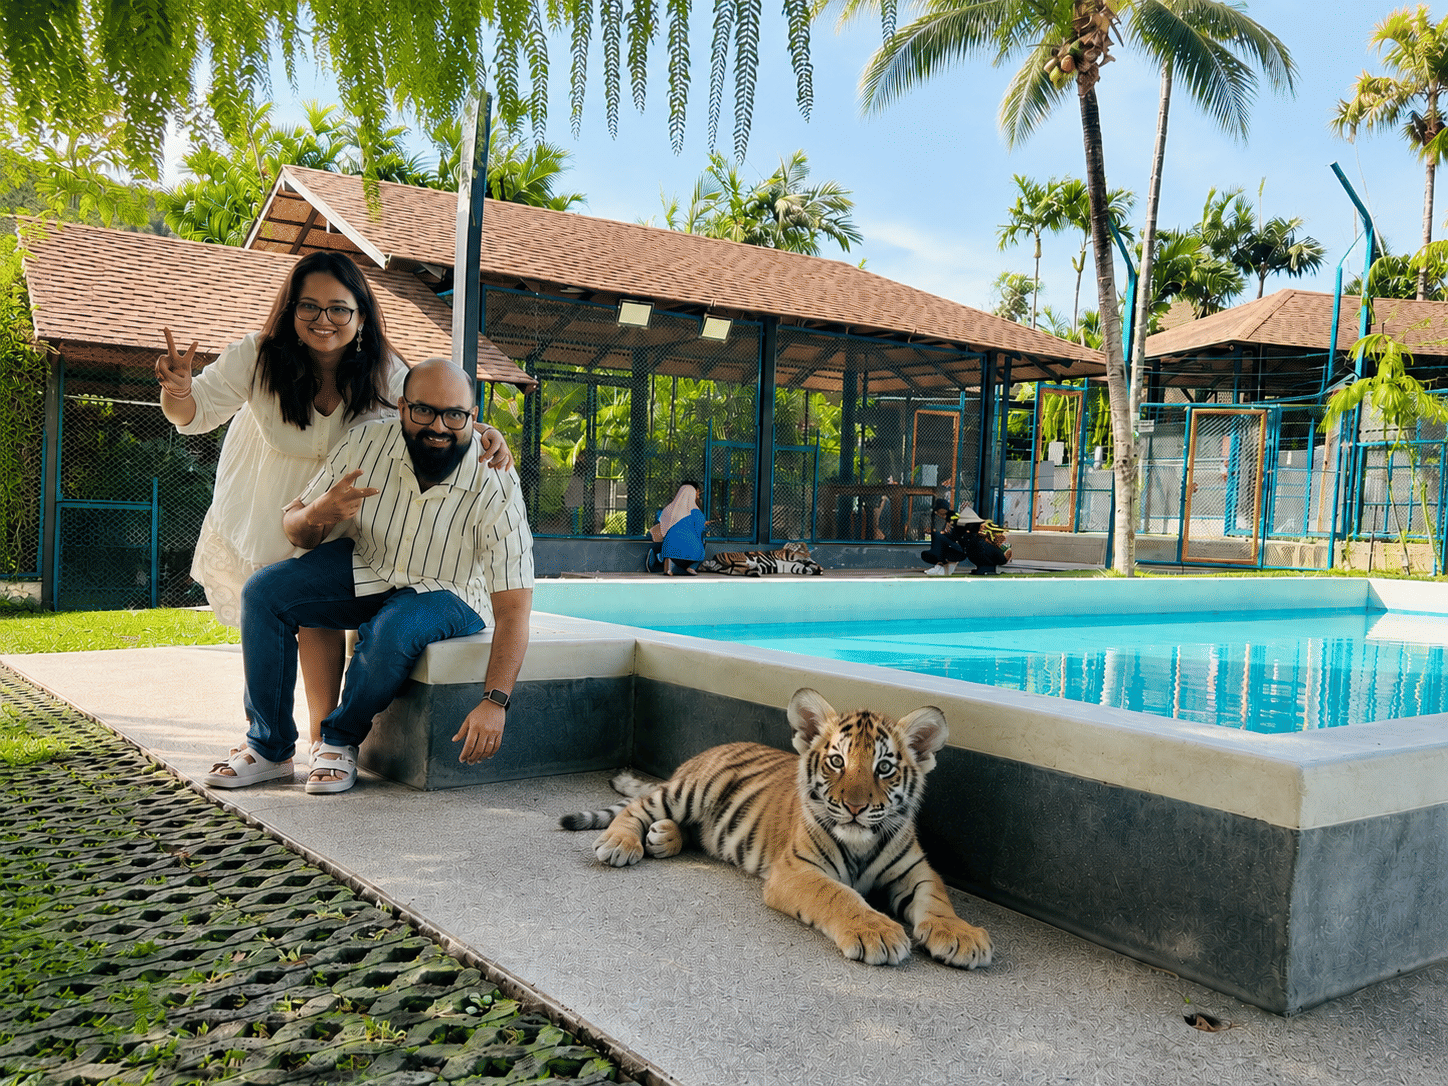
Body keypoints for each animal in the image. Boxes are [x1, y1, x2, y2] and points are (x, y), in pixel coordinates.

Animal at [559, 687, 992, 969]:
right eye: (837, 761)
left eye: (884, 767)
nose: (855, 807)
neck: (861, 843)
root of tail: (701, 755)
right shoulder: (797, 870)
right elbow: (840, 895)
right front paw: (878, 931)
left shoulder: (917, 870)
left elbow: (937, 900)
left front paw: (961, 935)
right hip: (691, 790)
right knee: (637, 807)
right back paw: (621, 842)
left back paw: (664, 837)